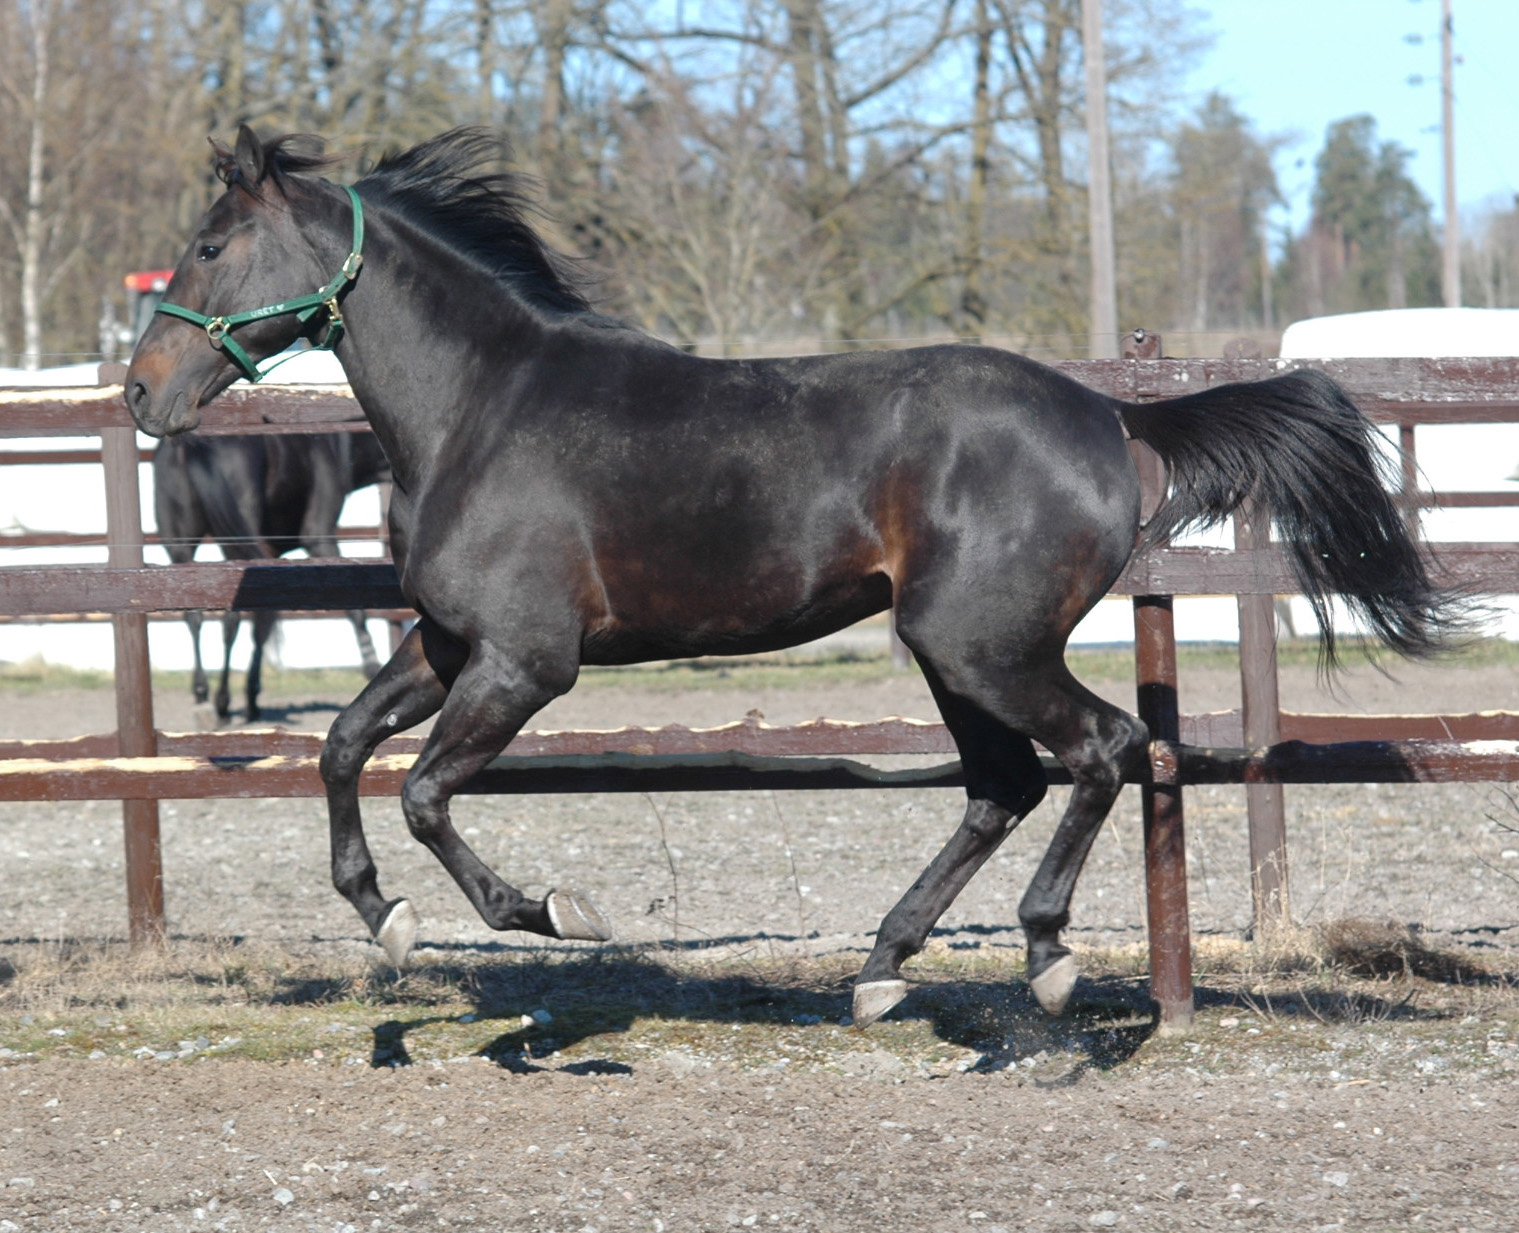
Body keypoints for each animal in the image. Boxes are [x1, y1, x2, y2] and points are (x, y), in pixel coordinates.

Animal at [151, 434, 388, 722]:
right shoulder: (317, 535)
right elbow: (355, 610)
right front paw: (372, 665)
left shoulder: (268, 553)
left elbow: (262, 624)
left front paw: (251, 696)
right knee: (229, 621)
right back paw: (222, 702)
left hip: (179, 544)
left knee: (194, 617)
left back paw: (202, 696)